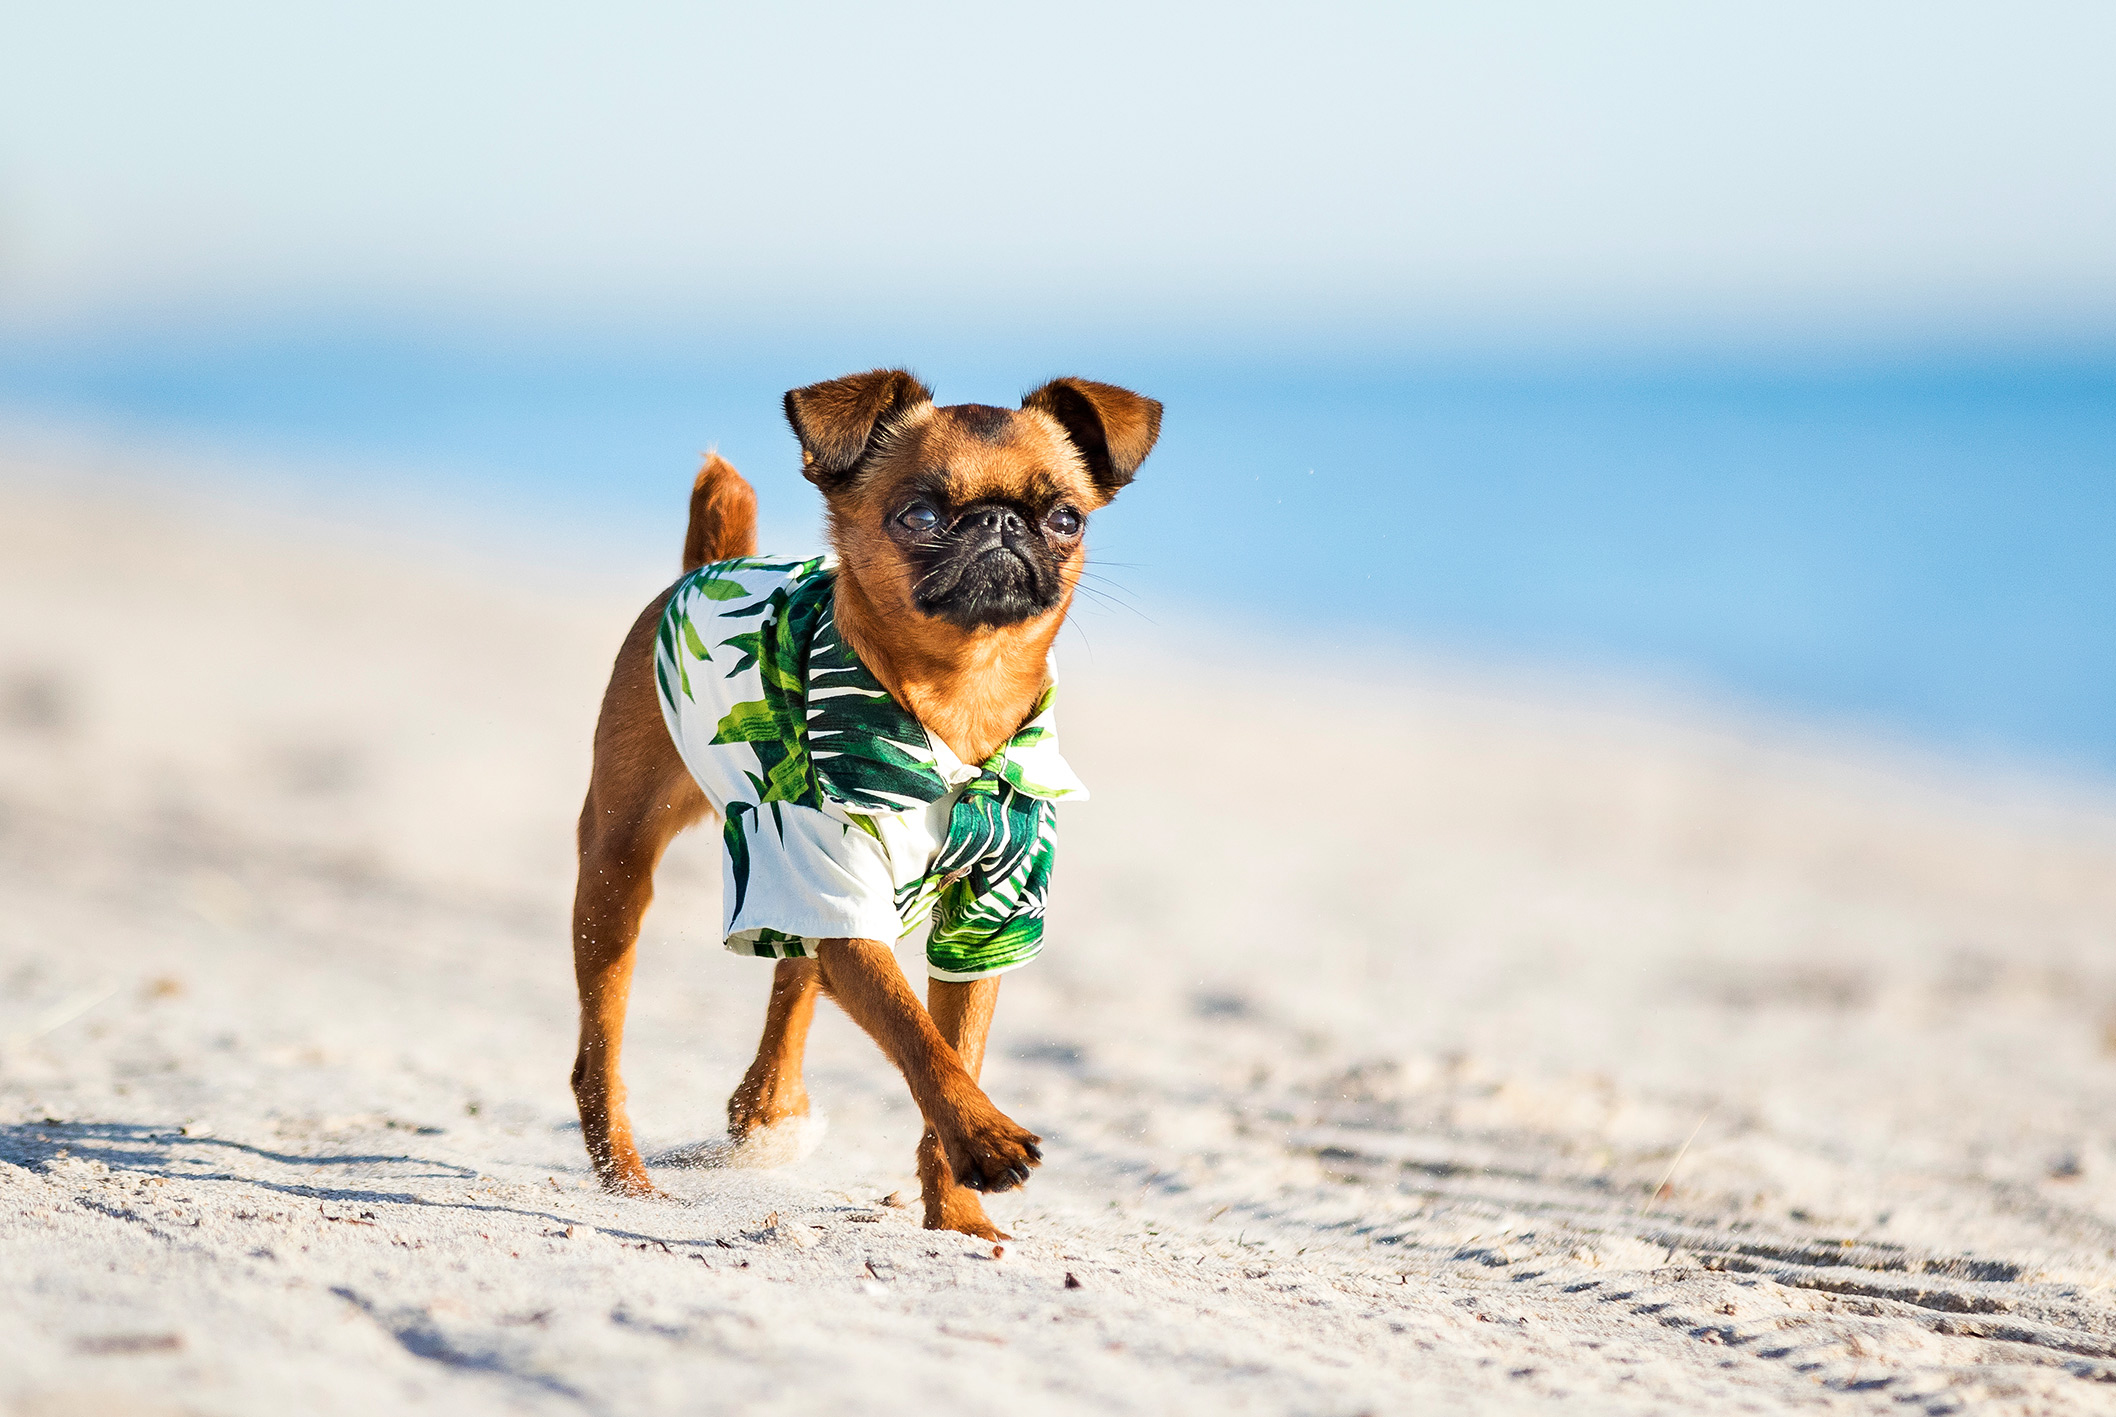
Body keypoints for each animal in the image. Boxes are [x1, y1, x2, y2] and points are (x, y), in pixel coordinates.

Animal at [567, 372, 1159, 1235]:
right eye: (918, 514)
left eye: (1064, 518)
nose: (999, 523)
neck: (959, 699)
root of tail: (713, 563)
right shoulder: (841, 897)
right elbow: (919, 1036)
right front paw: (986, 1137)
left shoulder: (989, 926)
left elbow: (955, 1043)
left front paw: (957, 1214)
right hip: (619, 874)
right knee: (599, 1051)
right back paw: (628, 1177)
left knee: (795, 968)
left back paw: (765, 1106)